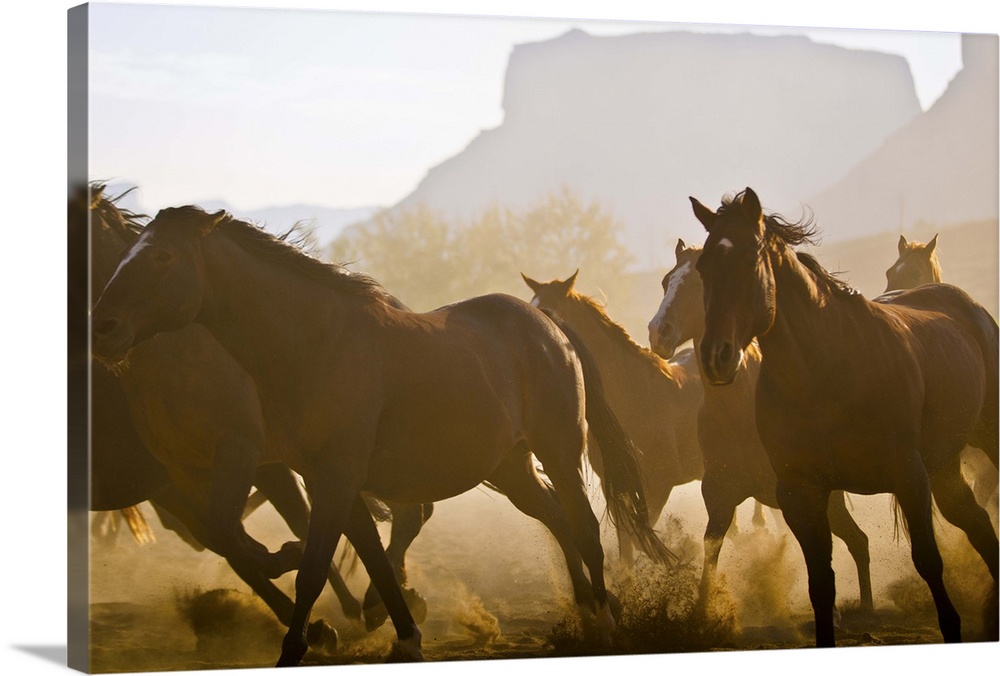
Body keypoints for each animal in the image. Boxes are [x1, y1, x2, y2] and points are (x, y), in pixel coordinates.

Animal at [90, 203, 668, 664]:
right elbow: (363, 552)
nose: (102, 327)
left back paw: (606, 623)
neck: (313, 344)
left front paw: (300, 636)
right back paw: (590, 610)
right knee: (552, 515)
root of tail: (548, 325)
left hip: (561, 450)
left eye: (162, 257)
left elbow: (312, 565)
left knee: (585, 526)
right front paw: (403, 635)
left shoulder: (328, 474)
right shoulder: (323, 477)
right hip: (511, 467)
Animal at [524, 270, 704, 564]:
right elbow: (627, 545)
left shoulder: (658, 485)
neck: (633, 393)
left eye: (548, 310)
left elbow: (640, 538)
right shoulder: (616, 485)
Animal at [644, 240, 872, 616]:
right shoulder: (719, 493)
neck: (738, 409)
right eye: (665, 282)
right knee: (857, 540)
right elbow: (711, 546)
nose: (658, 332)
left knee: (858, 540)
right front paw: (701, 611)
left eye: (699, 283)